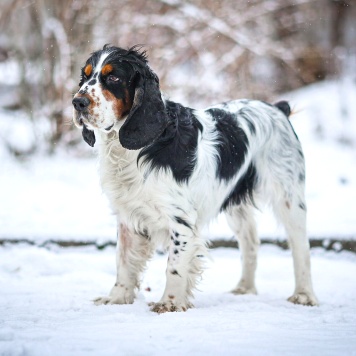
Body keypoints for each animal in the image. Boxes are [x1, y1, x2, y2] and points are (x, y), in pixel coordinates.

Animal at [71, 45, 318, 314]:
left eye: (113, 77)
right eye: (85, 76)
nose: (77, 102)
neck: (137, 149)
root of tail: (278, 109)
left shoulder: (180, 219)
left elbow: (175, 266)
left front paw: (169, 303)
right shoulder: (128, 217)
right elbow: (124, 261)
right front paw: (116, 298)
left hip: (288, 198)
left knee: (301, 247)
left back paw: (304, 295)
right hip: (236, 206)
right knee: (251, 242)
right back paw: (244, 289)